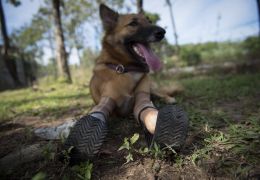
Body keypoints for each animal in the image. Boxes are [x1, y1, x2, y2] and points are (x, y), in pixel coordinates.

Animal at [64, 4, 188, 162]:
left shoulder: (142, 94)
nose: (162, 32)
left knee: (162, 93)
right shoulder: (109, 98)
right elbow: (100, 111)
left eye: (149, 21)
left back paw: (169, 99)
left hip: (152, 88)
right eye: (133, 23)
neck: (125, 68)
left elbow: (146, 109)